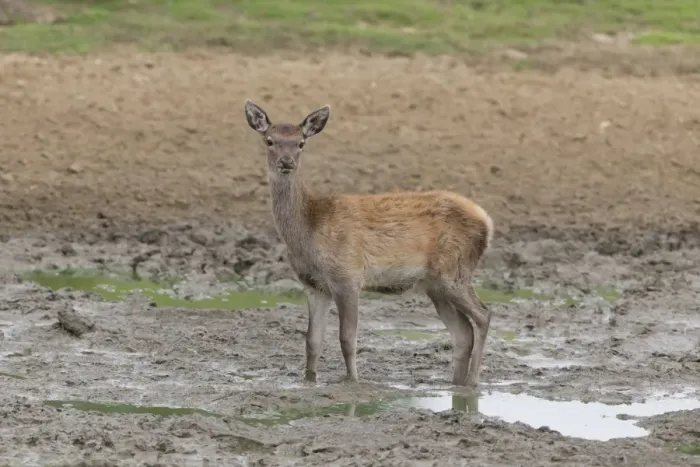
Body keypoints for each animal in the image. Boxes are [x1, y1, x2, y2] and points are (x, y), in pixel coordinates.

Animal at [244, 99, 494, 390]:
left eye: (301, 143)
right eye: (270, 141)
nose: (286, 162)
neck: (309, 229)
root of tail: (486, 221)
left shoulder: (347, 276)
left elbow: (347, 339)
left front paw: (352, 382)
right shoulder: (313, 285)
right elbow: (312, 341)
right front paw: (309, 382)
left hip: (454, 271)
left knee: (483, 315)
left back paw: (473, 383)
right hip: (436, 285)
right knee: (464, 332)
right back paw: (456, 385)